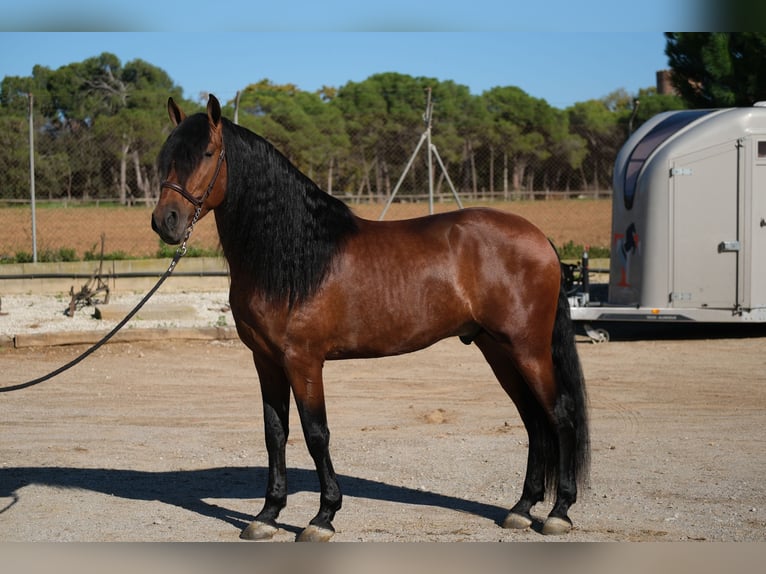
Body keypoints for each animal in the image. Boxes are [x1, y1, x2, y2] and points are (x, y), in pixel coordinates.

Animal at [152, 94, 592, 544]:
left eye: (208, 153)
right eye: (166, 155)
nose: (165, 221)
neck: (295, 257)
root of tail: (540, 239)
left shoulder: (303, 361)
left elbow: (316, 433)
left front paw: (323, 516)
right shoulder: (266, 360)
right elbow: (275, 433)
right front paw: (267, 514)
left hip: (528, 349)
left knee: (560, 414)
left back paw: (559, 512)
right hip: (498, 349)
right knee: (533, 419)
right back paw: (521, 508)